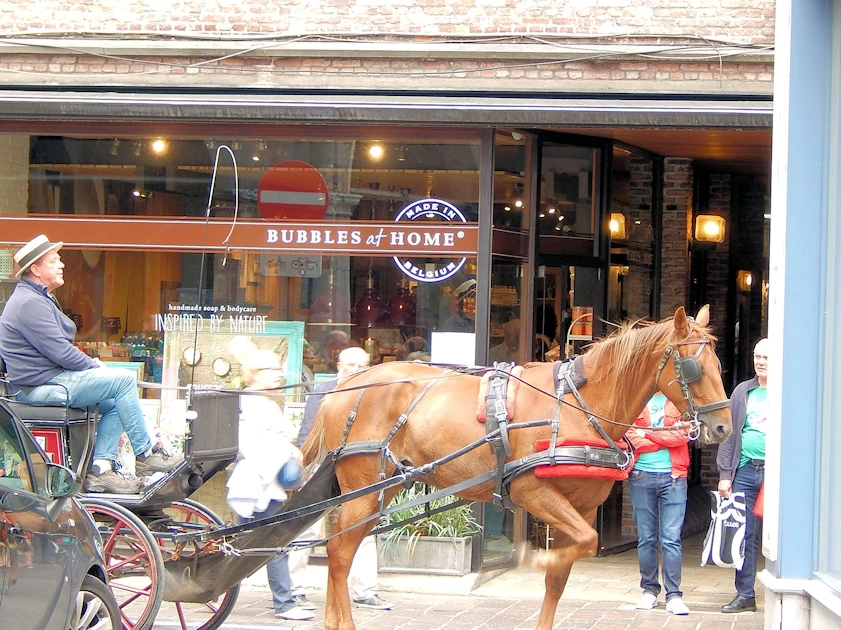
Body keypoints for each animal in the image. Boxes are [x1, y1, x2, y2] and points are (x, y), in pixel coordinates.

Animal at [300, 304, 728, 628]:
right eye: (693, 367)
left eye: (718, 363)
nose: (723, 426)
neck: (579, 407)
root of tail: (344, 386)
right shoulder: (532, 492)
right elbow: (581, 548)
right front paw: (534, 556)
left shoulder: (583, 507)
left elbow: (563, 574)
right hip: (364, 490)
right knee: (339, 552)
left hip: (382, 489)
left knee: (340, 548)